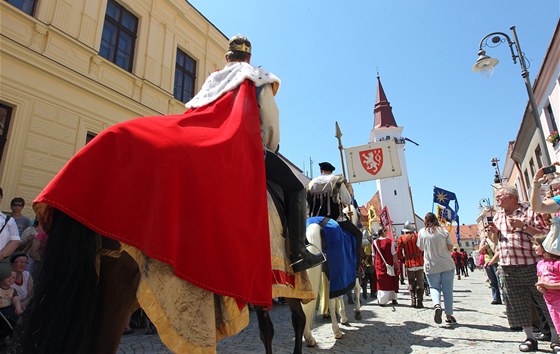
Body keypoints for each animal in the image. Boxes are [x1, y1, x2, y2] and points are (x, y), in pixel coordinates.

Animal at [302, 205, 364, 346]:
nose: (361, 226)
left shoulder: (338, 274)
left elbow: (340, 295)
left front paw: (344, 318)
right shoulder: (349, 273)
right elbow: (356, 289)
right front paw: (356, 313)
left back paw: (309, 337)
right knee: (330, 299)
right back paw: (336, 332)